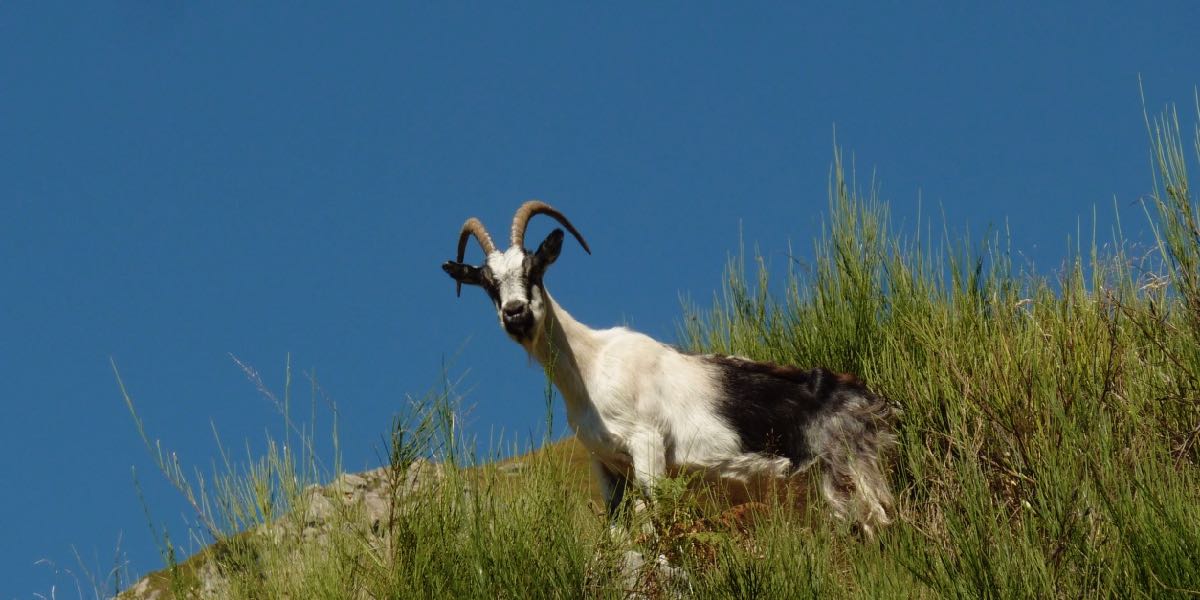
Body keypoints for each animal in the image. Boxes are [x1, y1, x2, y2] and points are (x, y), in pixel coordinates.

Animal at [441, 202, 892, 535]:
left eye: (533, 268)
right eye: (488, 283)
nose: (515, 314)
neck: (591, 366)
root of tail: (875, 406)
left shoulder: (648, 444)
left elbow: (655, 519)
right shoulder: (606, 467)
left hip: (853, 477)